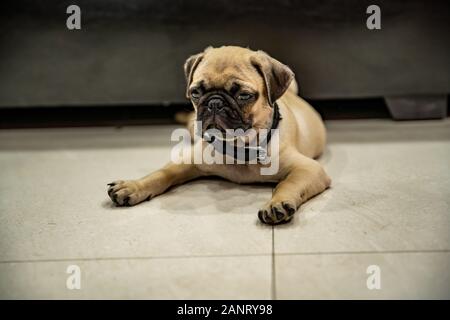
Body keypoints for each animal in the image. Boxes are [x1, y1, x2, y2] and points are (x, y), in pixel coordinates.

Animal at [106, 45, 330, 225]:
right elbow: (161, 174)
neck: (239, 149)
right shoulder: (188, 160)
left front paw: (278, 203)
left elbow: (288, 183)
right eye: (195, 92)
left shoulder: (308, 169)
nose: (214, 103)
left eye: (244, 96)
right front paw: (133, 186)